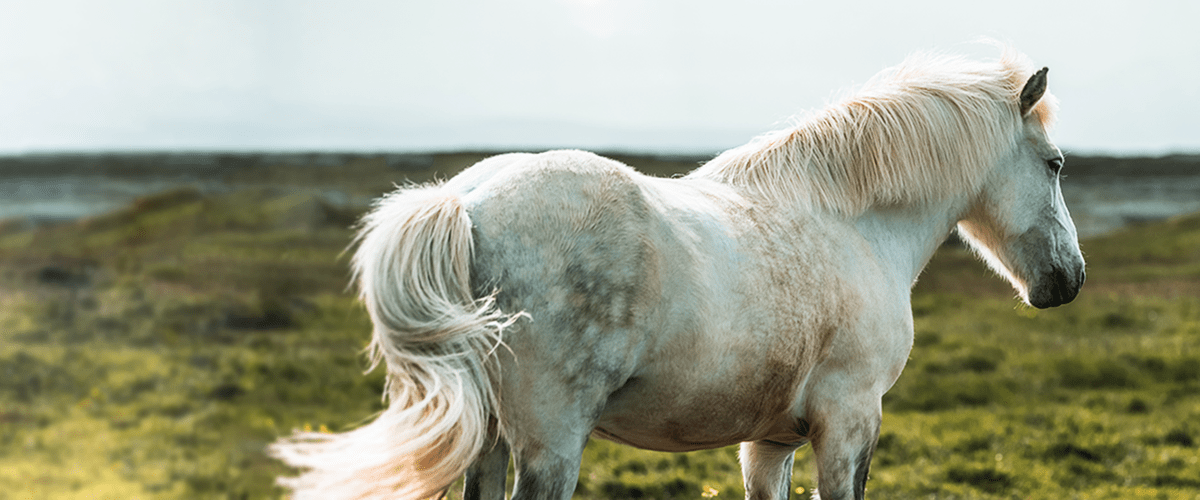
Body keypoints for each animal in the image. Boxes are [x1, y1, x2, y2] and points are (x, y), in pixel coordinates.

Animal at [269, 46, 1085, 500]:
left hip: (493, 440)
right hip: (551, 442)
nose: (1068, 281)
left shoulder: (771, 444)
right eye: (1054, 164)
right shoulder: (850, 423)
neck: (852, 222)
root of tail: (465, 203)